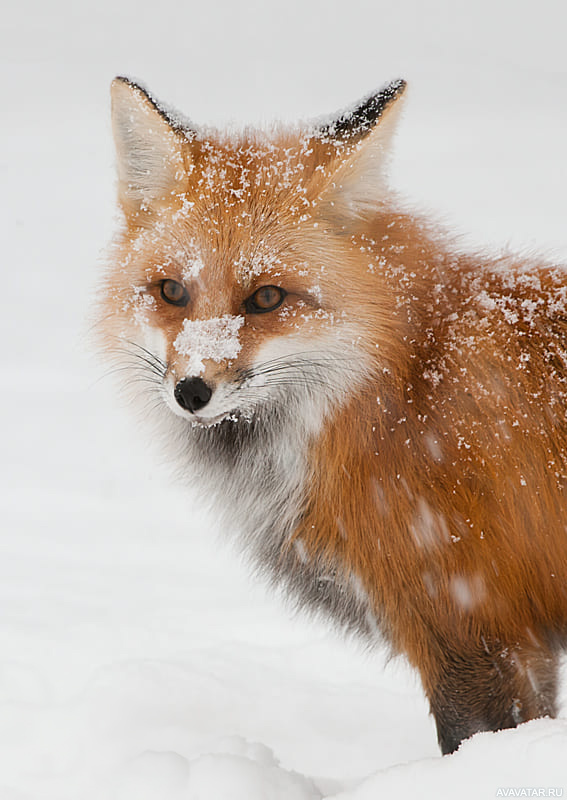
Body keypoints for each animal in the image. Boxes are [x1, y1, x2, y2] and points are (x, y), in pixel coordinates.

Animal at [97, 76, 567, 756]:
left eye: (267, 297)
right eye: (172, 292)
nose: (191, 391)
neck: (402, 387)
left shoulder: (469, 620)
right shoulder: (518, 641)